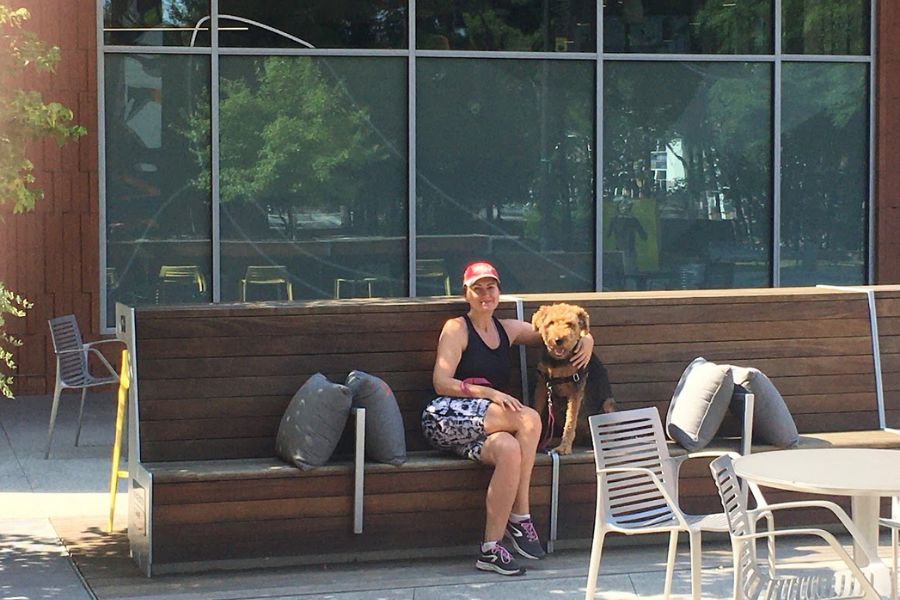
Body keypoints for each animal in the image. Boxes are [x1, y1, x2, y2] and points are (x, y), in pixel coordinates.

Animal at [532, 302, 616, 452]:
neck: (558, 363)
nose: (559, 340)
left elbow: (570, 421)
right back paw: (552, 441)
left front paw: (564, 448)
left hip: (608, 404)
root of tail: (585, 439)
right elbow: (537, 409)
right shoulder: (542, 385)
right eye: (550, 323)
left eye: (570, 324)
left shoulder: (576, 389)